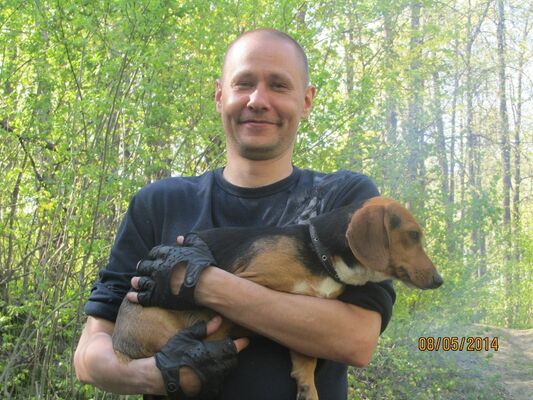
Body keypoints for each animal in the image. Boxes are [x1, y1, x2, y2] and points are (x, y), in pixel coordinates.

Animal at [112, 196, 443, 400]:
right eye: (413, 236)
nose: (439, 280)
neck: (319, 253)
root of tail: (120, 347)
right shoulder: (242, 288)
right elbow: (219, 328)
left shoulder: (307, 316)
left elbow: (306, 363)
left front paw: (308, 389)